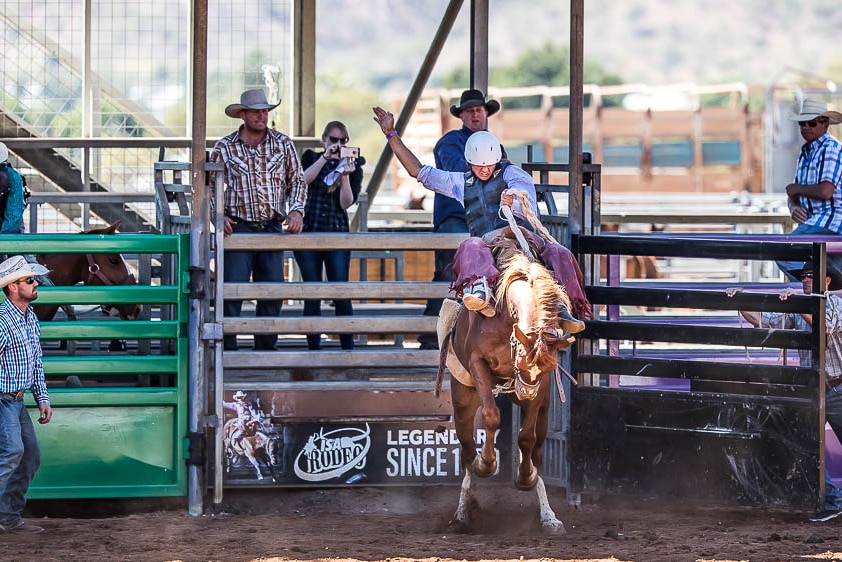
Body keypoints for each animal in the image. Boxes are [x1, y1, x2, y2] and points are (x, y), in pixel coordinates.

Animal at [436, 250, 576, 532]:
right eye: (520, 363)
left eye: (548, 367)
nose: (526, 394)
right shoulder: (478, 364)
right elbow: (491, 417)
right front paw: (487, 463)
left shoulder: (542, 387)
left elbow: (526, 438)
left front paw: (525, 475)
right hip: (463, 402)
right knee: (467, 453)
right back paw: (462, 512)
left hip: (543, 410)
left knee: (538, 451)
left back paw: (549, 516)